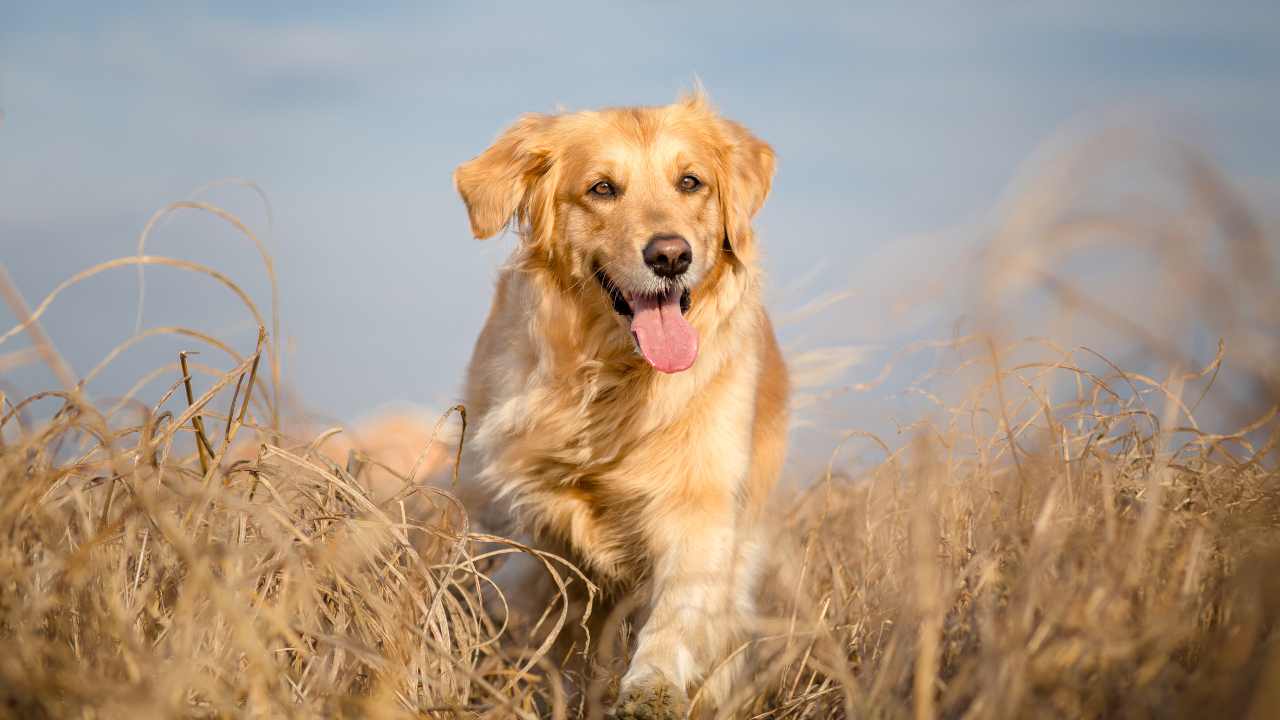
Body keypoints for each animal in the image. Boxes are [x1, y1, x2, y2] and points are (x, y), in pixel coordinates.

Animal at [455, 92, 783, 712]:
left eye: (690, 182)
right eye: (602, 188)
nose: (671, 256)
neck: (616, 378)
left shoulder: (701, 501)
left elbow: (679, 608)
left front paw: (652, 686)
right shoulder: (533, 516)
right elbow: (542, 607)